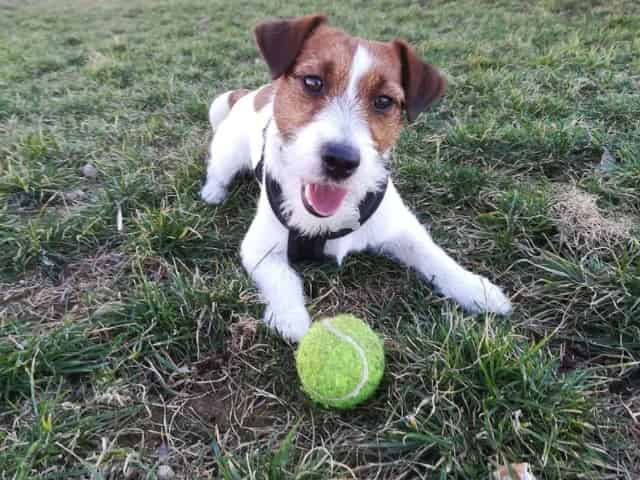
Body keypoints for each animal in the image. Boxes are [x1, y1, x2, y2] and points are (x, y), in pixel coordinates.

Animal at [200, 14, 510, 342]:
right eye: (313, 82)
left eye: (384, 101)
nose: (340, 160)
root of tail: (253, 94)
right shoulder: (259, 249)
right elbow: (283, 277)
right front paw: (291, 317)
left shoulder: (401, 228)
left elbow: (433, 255)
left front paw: (476, 289)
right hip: (227, 152)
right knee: (218, 170)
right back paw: (213, 192)